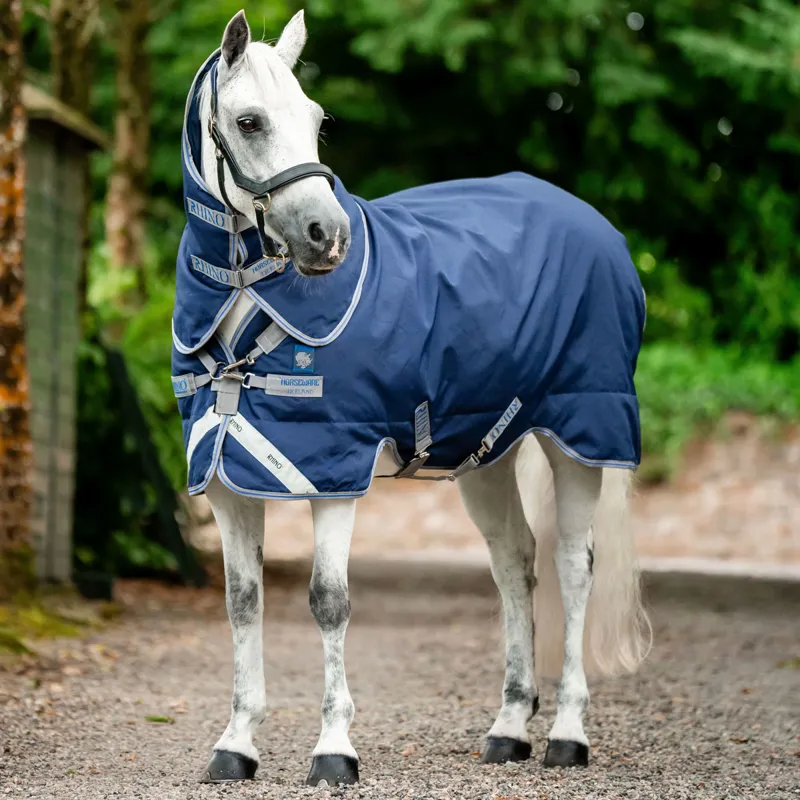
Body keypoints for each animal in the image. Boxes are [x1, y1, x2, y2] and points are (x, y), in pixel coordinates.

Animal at [171, 9, 650, 787]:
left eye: (315, 118)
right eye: (248, 121)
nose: (326, 237)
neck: (249, 300)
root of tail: (597, 227)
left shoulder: (333, 471)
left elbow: (328, 601)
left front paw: (334, 750)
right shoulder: (223, 478)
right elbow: (243, 603)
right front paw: (236, 744)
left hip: (581, 435)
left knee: (574, 568)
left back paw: (567, 735)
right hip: (489, 454)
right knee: (514, 564)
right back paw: (508, 728)